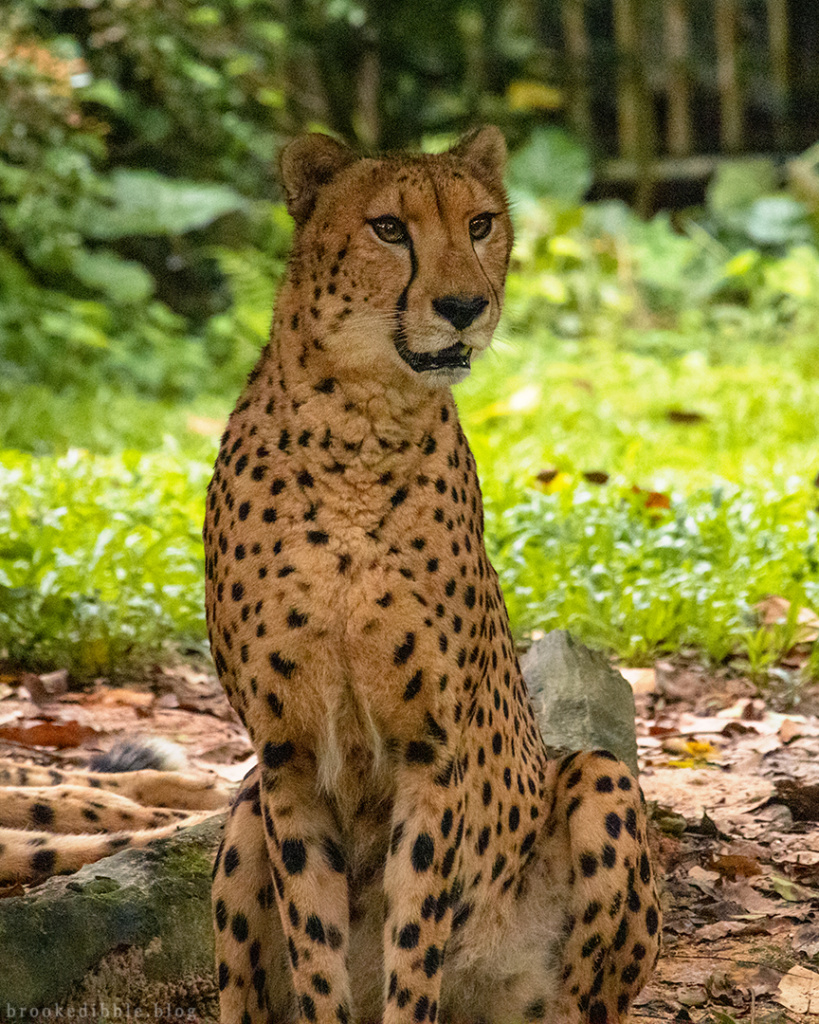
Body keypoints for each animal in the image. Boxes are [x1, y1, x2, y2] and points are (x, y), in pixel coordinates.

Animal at [204, 128, 659, 1024]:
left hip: (598, 781)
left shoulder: (430, 751)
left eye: (480, 223)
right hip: (241, 814)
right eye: (388, 228)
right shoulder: (285, 756)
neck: (359, 427)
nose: (462, 308)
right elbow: (317, 953)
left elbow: (413, 942)